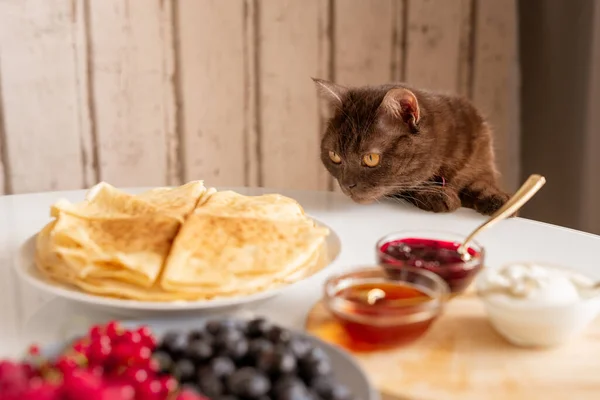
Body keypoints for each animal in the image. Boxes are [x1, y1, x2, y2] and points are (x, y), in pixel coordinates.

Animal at [314, 78, 510, 216]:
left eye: (371, 158)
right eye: (334, 156)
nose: (347, 185)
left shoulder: (482, 156)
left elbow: (482, 181)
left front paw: (498, 199)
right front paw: (437, 194)